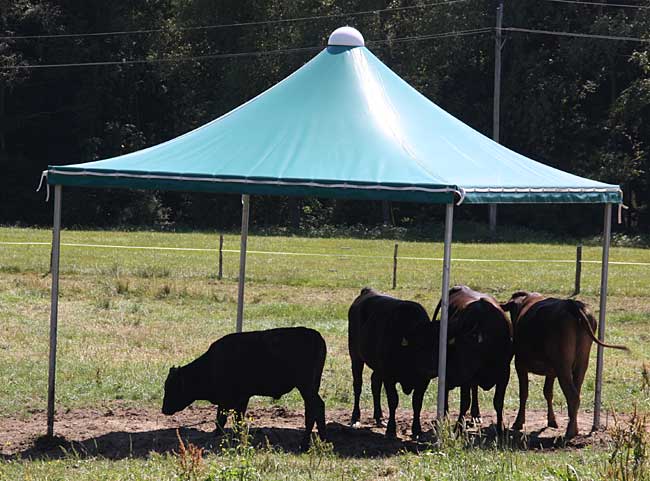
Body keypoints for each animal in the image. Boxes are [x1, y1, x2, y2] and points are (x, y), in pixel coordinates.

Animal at [160, 324, 326, 448]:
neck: (211, 364)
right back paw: (321, 440)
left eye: (172, 388)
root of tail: (314, 335)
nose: (164, 409)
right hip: (311, 387)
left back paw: (305, 444)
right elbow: (237, 419)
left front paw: (218, 437)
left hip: (306, 387)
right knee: (315, 409)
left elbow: (222, 419)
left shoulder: (227, 399)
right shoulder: (242, 398)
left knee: (316, 407)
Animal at [346, 286, 438, 436]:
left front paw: (417, 430)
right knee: (358, 385)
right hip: (355, 357)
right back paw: (355, 418)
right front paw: (391, 430)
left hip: (377, 367)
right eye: (420, 345)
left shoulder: (423, 380)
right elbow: (393, 400)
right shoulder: (389, 377)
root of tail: (367, 291)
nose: (433, 369)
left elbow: (417, 402)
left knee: (375, 384)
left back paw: (379, 417)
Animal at [430, 286, 512, 430]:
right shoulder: (466, 377)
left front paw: (500, 428)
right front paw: (458, 426)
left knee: (473, 390)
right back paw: (445, 417)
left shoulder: (504, 373)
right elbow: (465, 401)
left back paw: (475, 414)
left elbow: (498, 402)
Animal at [498, 290, 624, 436]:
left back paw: (570, 431)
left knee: (572, 396)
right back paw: (574, 427)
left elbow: (524, 393)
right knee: (576, 394)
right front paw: (552, 420)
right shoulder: (551, 371)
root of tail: (572, 304)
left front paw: (518, 422)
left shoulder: (520, 365)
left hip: (563, 367)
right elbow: (548, 392)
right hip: (581, 364)